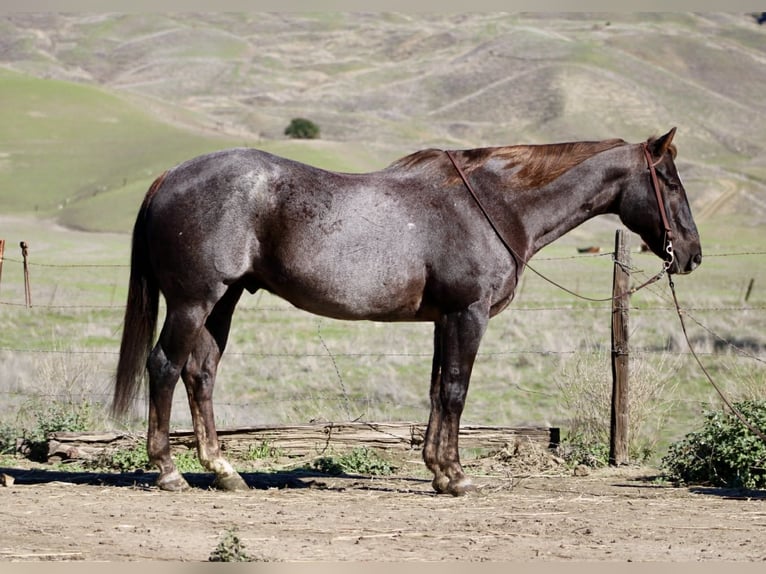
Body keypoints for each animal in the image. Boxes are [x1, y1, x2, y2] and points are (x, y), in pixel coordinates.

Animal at [113, 127, 701, 496]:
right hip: (193, 301)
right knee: (164, 367)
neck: (494, 204)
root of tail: (171, 175)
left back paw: (222, 470)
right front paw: (457, 477)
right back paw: (168, 471)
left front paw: (438, 471)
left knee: (200, 374)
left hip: (223, 300)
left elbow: (439, 391)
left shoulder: (446, 319)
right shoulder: (468, 314)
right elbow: (457, 390)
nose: (692, 254)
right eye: (671, 182)